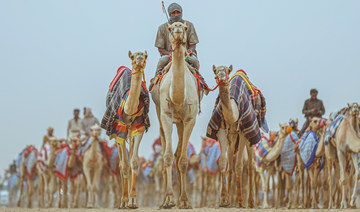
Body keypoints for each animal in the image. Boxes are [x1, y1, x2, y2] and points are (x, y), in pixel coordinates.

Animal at [150, 21, 202, 209]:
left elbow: (183, 160)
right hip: (160, 115)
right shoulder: (166, 115)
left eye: (185, 28)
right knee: (166, 151)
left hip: (180, 122)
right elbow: (166, 157)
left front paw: (185, 201)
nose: (178, 27)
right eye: (171, 29)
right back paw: (164, 200)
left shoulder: (190, 119)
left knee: (178, 154)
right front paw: (168, 200)